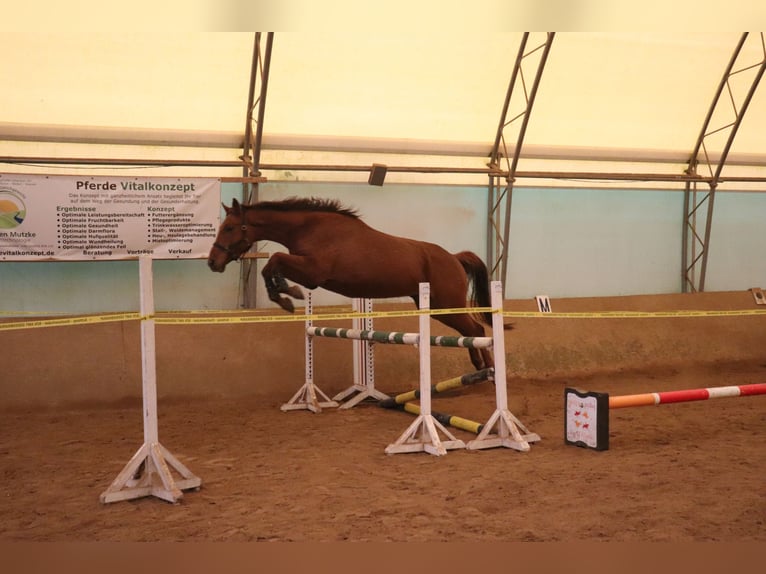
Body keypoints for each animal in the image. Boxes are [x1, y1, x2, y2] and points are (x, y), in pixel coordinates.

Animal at [207, 196, 504, 372]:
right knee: (471, 331)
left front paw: (287, 295)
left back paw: (489, 370)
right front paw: (285, 294)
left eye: (229, 228)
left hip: (446, 305)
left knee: (476, 329)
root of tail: (453, 257)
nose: (212, 262)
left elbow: (275, 261)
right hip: (437, 307)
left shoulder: (313, 273)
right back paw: (480, 366)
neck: (309, 228)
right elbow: (272, 266)